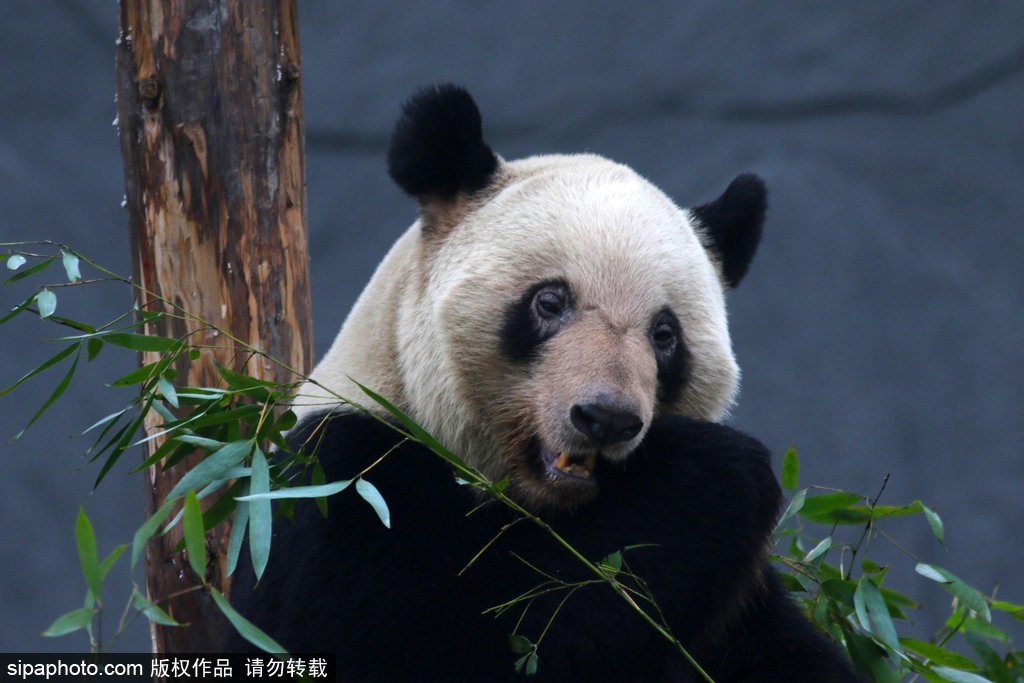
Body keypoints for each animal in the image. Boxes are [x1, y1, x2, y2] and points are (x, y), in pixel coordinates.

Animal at [225, 84, 863, 682]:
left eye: (665, 334)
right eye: (550, 302)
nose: (606, 418)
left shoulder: (742, 612)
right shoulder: (335, 485)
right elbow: (452, 645)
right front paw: (713, 473)